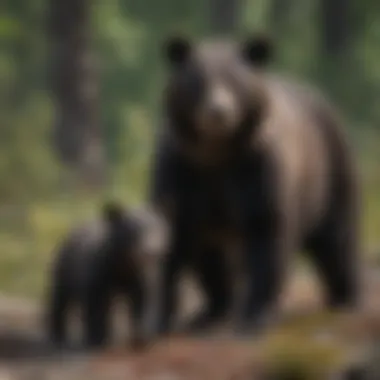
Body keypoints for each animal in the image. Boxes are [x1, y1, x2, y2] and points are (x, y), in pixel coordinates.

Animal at [46, 202, 168, 350]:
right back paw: (57, 338)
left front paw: (141, 338)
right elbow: (96, 301)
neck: (124, 264)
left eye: (158, 229)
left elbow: (143, 299)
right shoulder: (99, 269)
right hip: (63, 269)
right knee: (59, 299)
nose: (151, 251)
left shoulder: (141, 275)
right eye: (134, 232)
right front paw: (97, 339)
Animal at [148, 33, 362, 336]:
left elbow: (266, 232)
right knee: (214, 259)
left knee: (337, 239)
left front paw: (255, 315)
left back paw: (345, 297)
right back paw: (210, 311)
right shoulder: (182, 170)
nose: (218, 112)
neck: (216, 153)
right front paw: (160, 320)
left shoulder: (256, 166)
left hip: (330, 170)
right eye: (199, 80)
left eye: (234, 81)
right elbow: (173, 232)